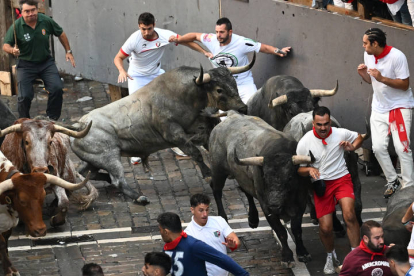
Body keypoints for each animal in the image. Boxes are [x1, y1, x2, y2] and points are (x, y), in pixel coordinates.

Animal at [69, 55, 254, 204]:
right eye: (219, 89)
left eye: (234, 83)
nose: (243, 108)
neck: (188, 96)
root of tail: (80, 125)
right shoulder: (174, 134)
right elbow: (195, 153)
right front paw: (208, 174)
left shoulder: (205, 128)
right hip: (110, 157)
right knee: (117, 180)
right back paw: (139, 197)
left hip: (93, 160)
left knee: (83, 173)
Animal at [210, 110, 314, 268]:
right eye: (265, 177)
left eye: (290, 177)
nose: (274, 205)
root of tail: (232, 115)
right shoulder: (266, 207)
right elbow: (281, 231)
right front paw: (287, 257)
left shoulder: (301, 202)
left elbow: (297, 230)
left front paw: (302, 253)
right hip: (218, 170)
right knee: (216, 190)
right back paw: (223, 217)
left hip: (241, 176)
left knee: (246, 191)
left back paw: (253, 219)